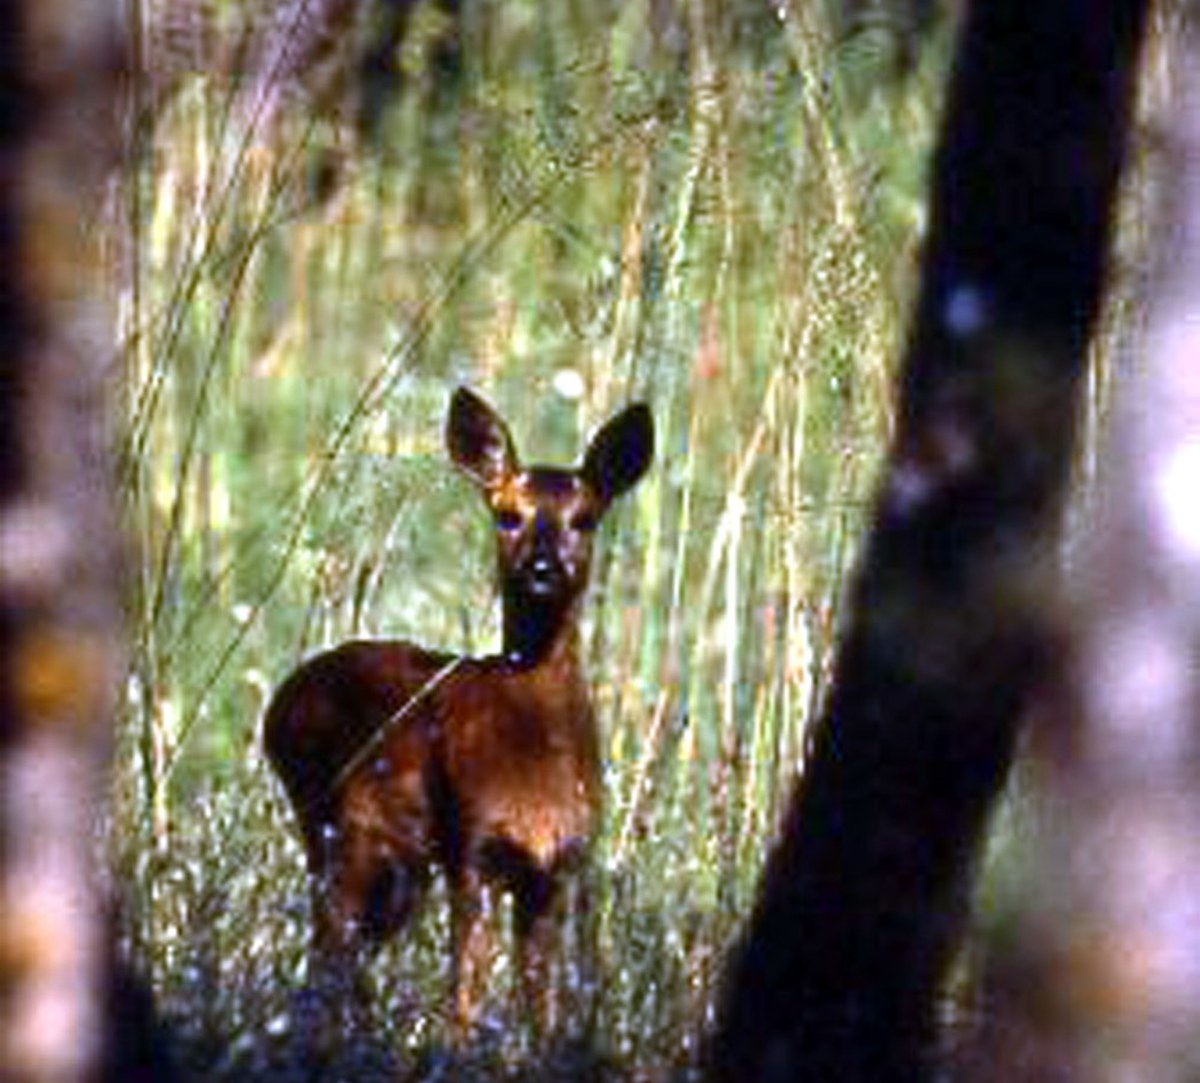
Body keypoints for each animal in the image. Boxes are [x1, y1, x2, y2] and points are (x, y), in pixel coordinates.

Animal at [264, 386, 657, 1037]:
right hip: (342, 830)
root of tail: (280, 703)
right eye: (507, 514)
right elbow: (464, 1003)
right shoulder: (472, 848)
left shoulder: (559, 867)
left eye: (584, 518)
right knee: (326, 956)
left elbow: (543, 1010)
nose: (542, 569)